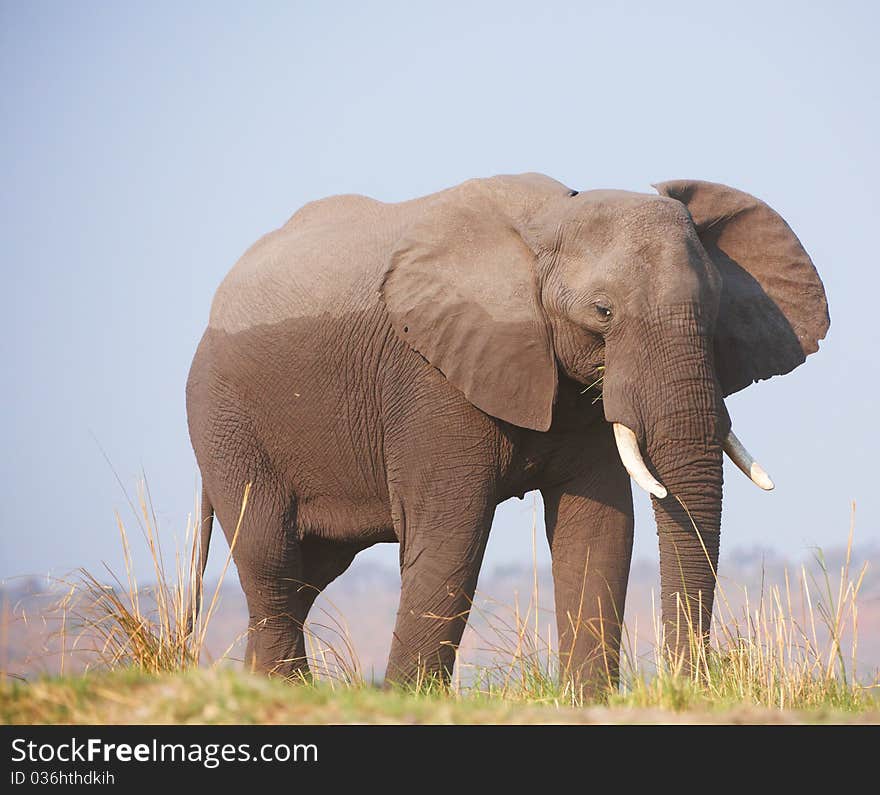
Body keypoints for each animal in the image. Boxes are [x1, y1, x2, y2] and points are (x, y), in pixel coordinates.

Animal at [184, 173, 824, 692]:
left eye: (714, 315)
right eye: (603, 312)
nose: (686, 685)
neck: (546, 229)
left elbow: (600, 531)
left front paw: (587, 701)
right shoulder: (432, 377)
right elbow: (451, 538)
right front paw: (409, 700)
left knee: (306, 574)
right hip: (223, 419)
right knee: (270, 557)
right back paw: (280, 691)